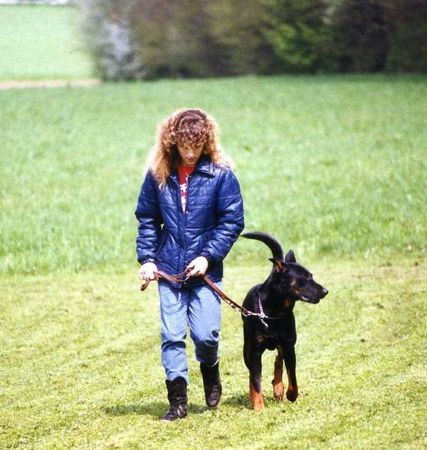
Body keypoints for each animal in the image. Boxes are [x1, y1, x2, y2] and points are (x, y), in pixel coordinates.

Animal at [242, 232, 330, 412]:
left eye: (311, 276)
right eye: (304, 278)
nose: (325, 291)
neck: (274, 312)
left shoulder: (290, 346)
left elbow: (292, 375)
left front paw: (291, 394)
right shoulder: (255, 351)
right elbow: (256, 379)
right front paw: (258, 406)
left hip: (283, 344)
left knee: (278, 362)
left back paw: (278, 387)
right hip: (246, 348)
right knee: (252, 373)